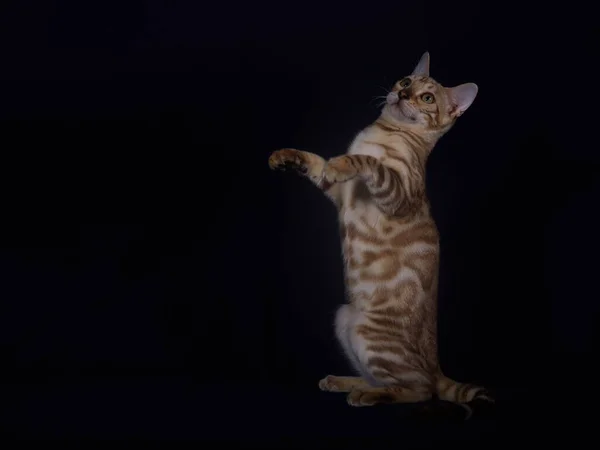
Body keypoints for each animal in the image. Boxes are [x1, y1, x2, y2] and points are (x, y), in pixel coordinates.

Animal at [270, 51, 494, 416]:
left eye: (427, 98)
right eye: (406, 81)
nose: (403, 94)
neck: (384, 134)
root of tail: (437, 366)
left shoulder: (396, 194)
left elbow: (367, 162)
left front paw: (344, 162)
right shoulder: (338, 192)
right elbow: (316, 161)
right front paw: (285, 156)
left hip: (370, 336)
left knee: (420, 390)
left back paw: (366, 396)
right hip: (344, 317)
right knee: (386, 380)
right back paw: (345, 382)